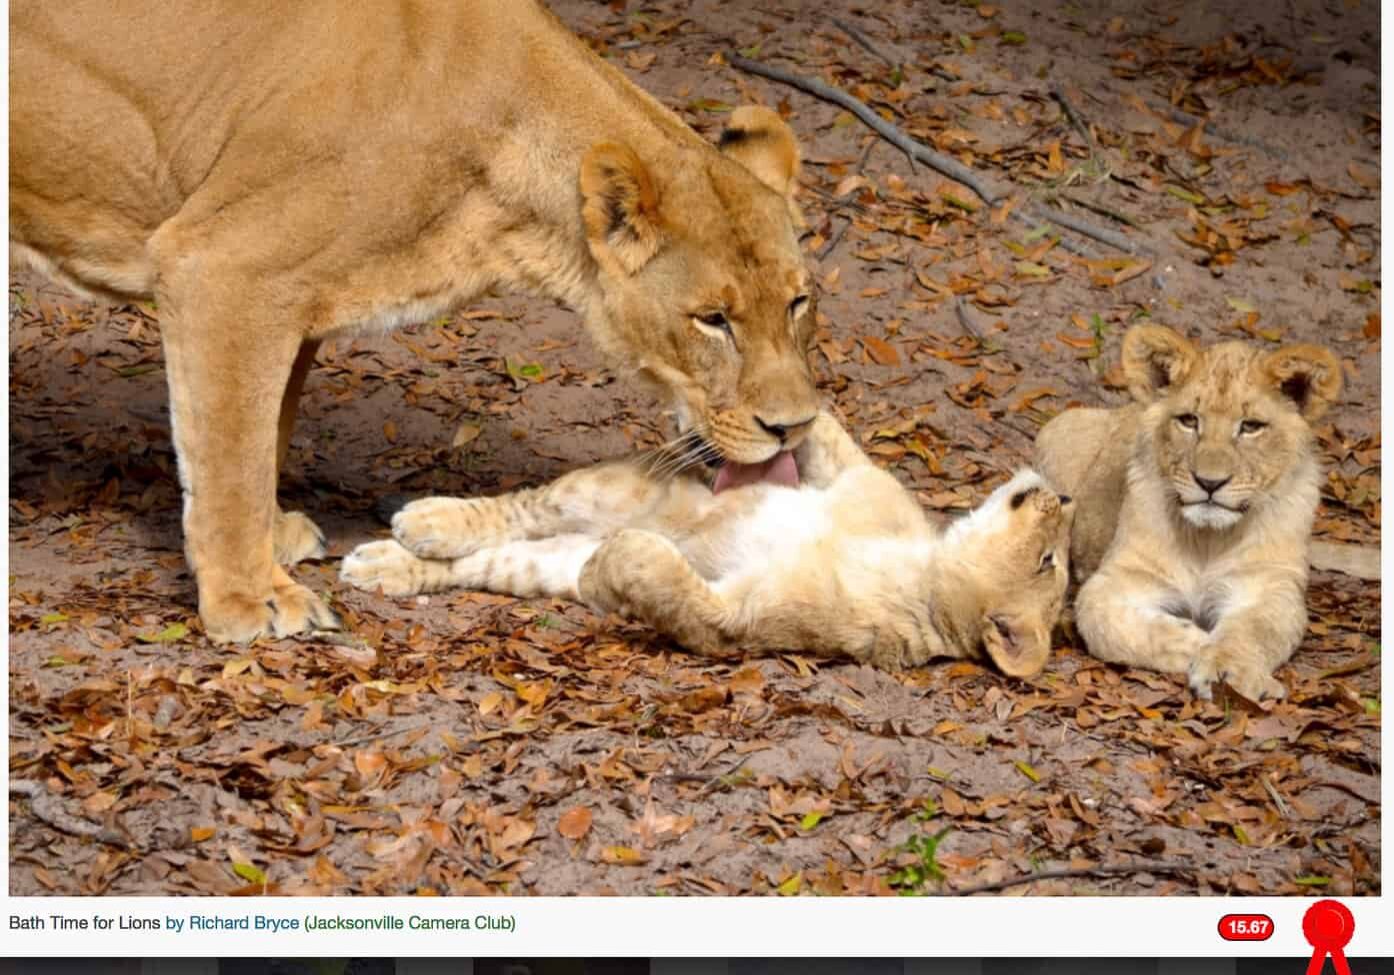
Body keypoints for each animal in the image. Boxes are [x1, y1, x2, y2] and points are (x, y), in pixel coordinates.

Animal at [8, 0, 814, 644]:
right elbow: (231, 456)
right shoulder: (220, 266)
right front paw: (250, 601)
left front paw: (274, 539)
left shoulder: (293, 300)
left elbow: (264, 432)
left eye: (799, 302)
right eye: (713, 320)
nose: (796, 427)